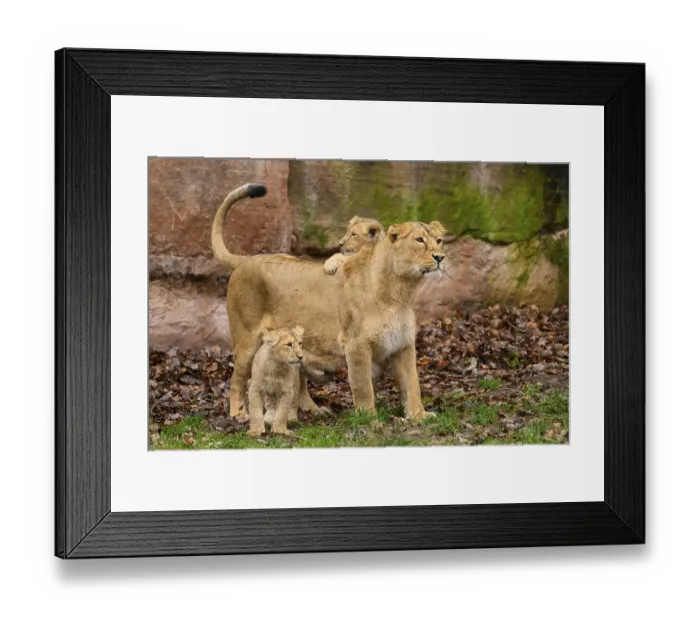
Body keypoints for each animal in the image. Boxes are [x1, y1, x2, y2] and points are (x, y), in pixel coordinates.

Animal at [212, 183, 446, 422]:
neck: (401, 291)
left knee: (298, 379)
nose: (440, 257)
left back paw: (311, 411)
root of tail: (247, 259)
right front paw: (369, 418)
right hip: (247, 340)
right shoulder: (356, 344)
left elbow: (412, 384)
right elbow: (363, 387)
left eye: (439, 241)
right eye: (419, 240)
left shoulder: (403, 344)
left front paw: (419, 415)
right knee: (238, 379)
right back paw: (238, 414)